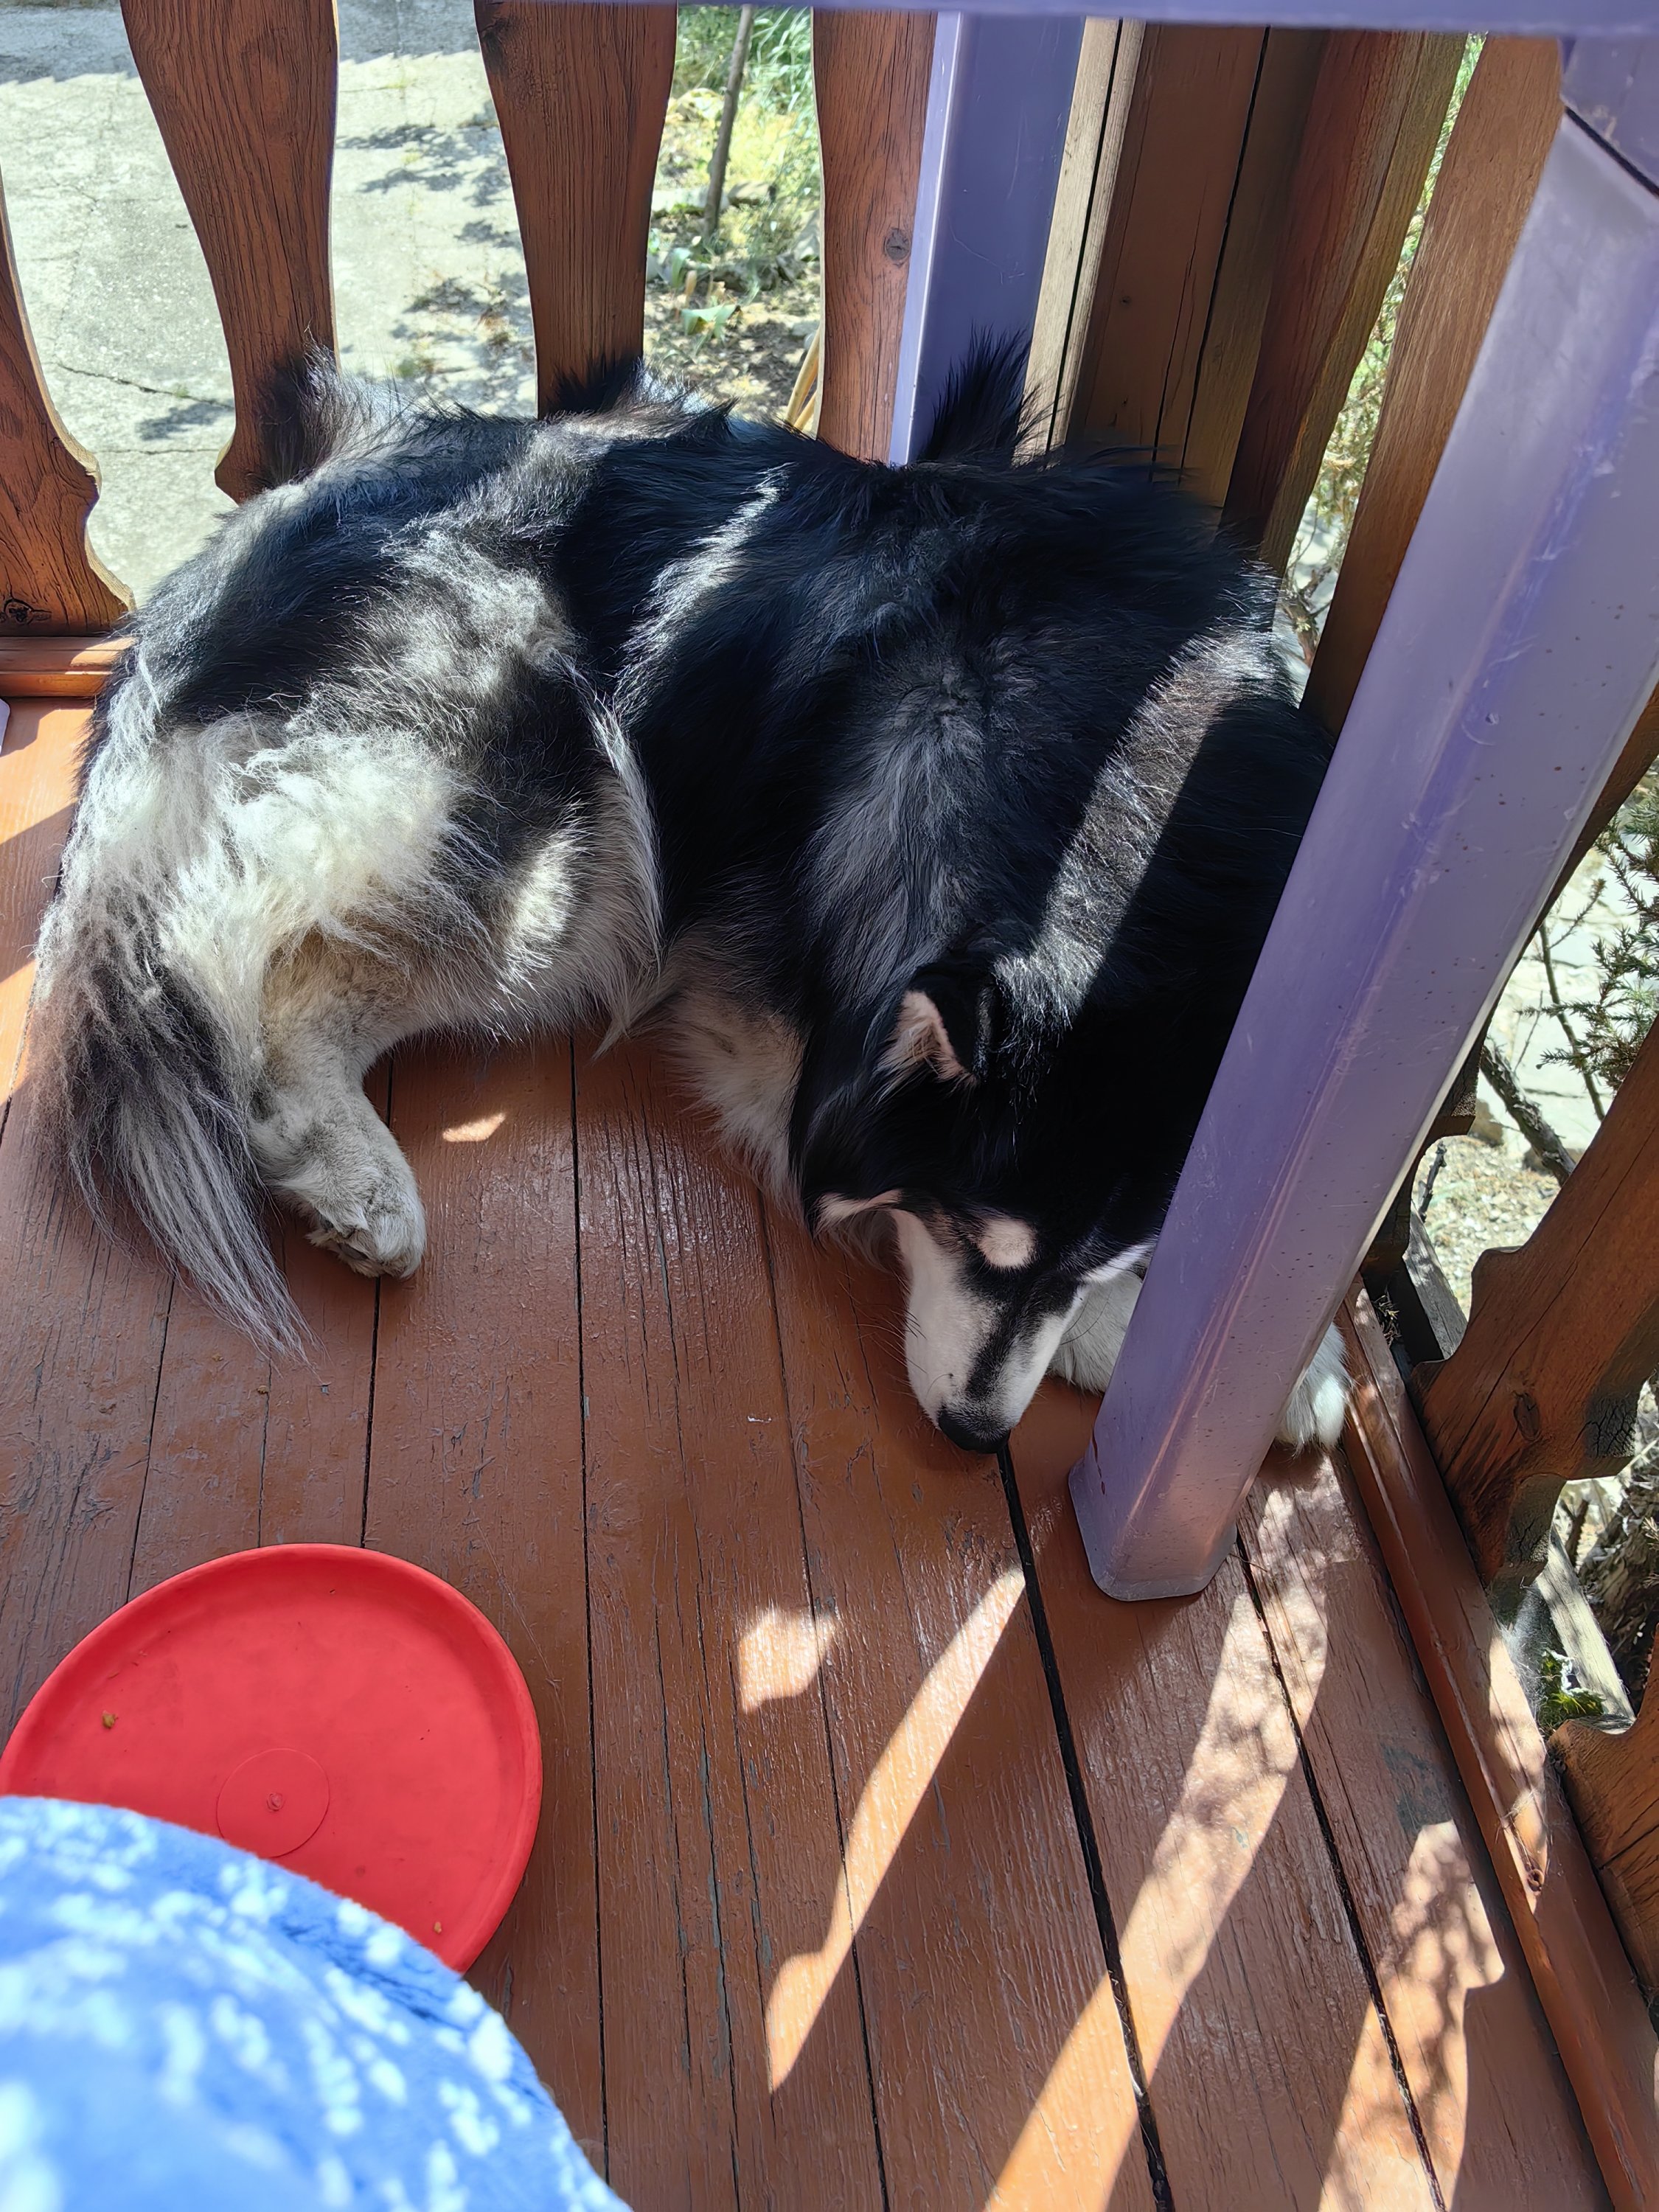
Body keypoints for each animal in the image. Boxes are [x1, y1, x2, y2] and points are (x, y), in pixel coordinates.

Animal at [29, 347, 1347, 1456]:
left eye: (1103, 1252)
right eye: (972, 1237)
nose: (976, 1439)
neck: (1110, 792)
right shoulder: (778, 1021)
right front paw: (1165, 1355)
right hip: (572, 846)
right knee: (277, 981)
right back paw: (356, 1181)